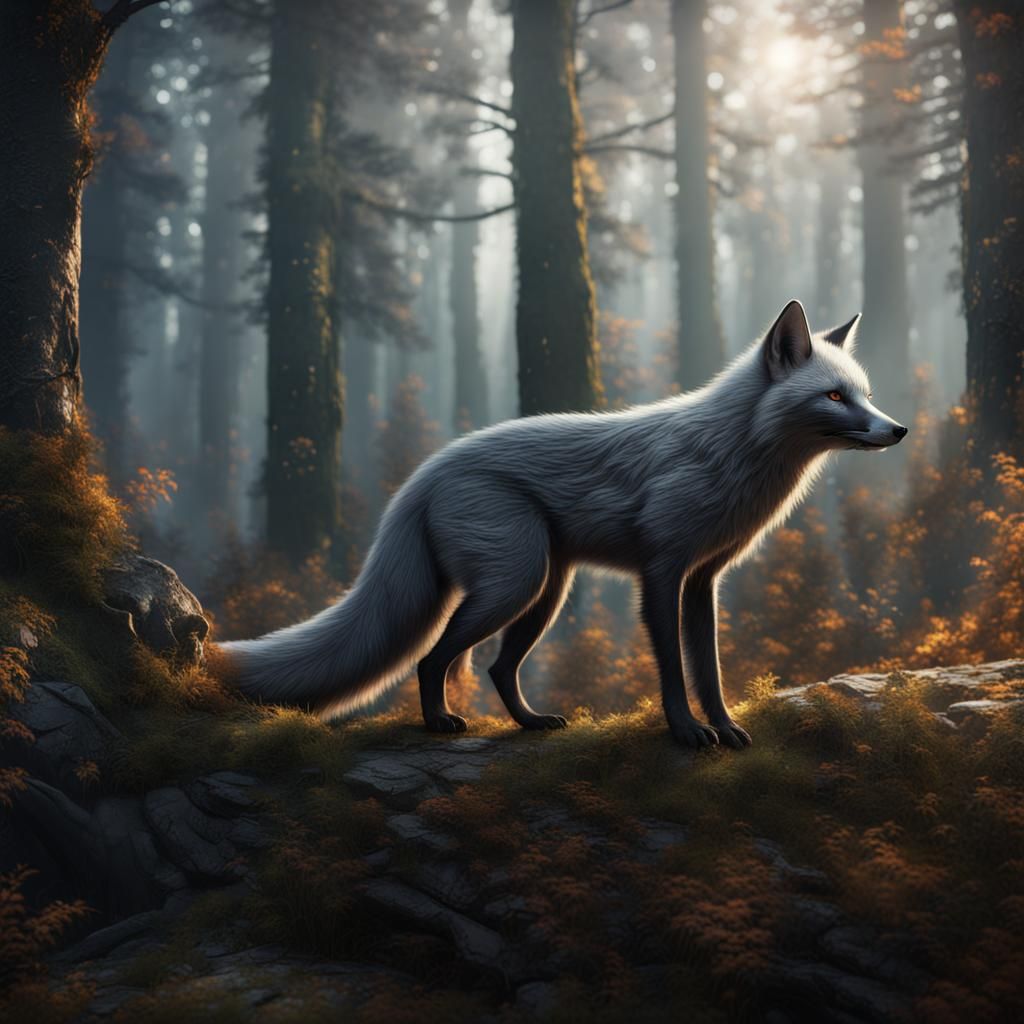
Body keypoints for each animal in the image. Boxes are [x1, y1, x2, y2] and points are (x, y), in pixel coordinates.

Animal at [216, 300, 907, 749]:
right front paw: (686, 732)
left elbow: (708, 668)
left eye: (866, 395)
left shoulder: (703, 580)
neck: (730, 453)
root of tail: (425, 473)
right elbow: (672, 670)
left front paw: (727, 727)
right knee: (435, 658)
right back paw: (438, 724)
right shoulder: (661, 572)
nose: (897, 429)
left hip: (545, 590)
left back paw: (530, 723)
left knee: (497, 668)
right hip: (512, 584)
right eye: (834, 397)